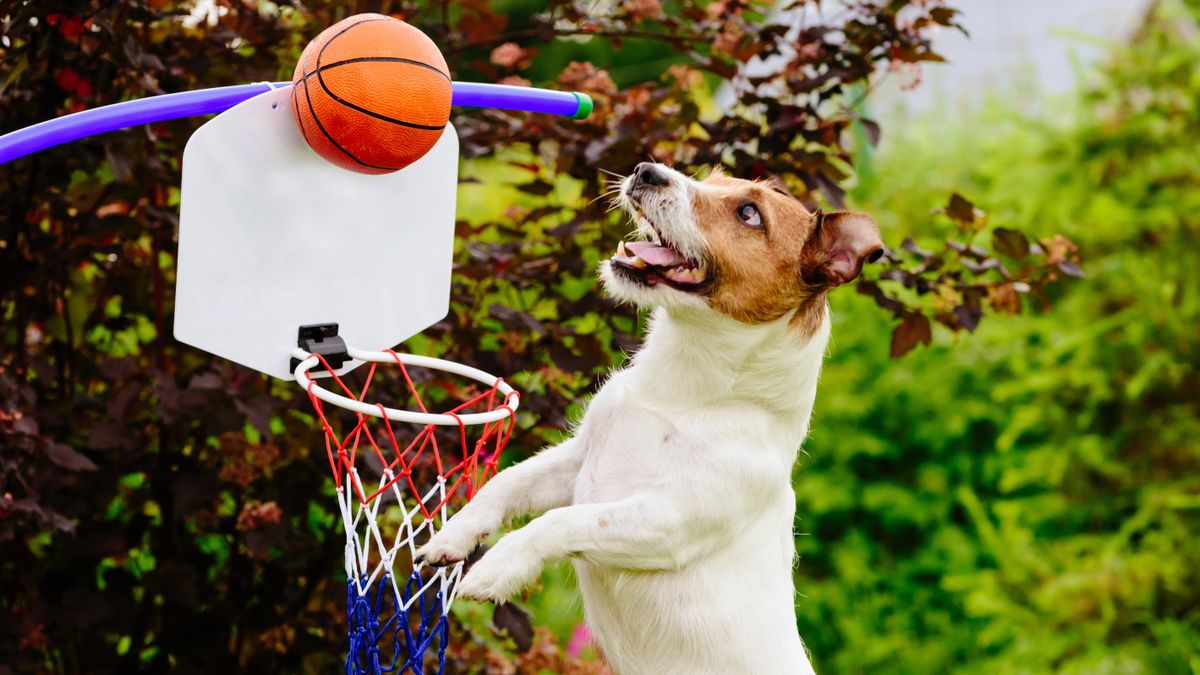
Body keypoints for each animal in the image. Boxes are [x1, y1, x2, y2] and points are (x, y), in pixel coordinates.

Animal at [420, 163, 883, 672]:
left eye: (748, 213)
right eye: (711, 180)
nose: (648, 170)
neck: (680, 393)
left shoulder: (664, 524)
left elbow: (562, 522)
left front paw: (500, 567)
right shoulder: (577, 461)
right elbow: (504, 484)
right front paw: (454, 534)